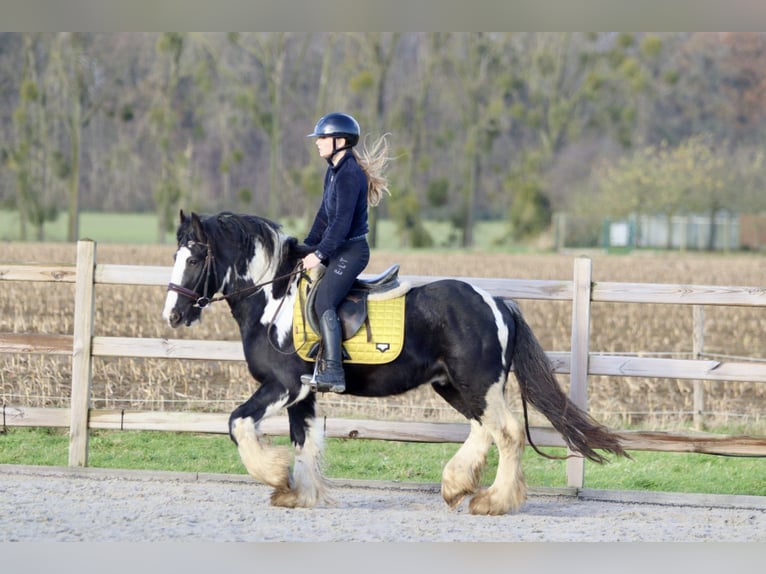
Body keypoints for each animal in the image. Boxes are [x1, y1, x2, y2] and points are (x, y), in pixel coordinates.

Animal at [162, 212, 632, 516]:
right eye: (176, 256)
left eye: (194, 258)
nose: (172, 315)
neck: (274, 300)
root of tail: (497, 302)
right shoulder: (305, 392)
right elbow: (306, 440)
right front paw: (300, 494)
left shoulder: (284, 385)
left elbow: (239, 422)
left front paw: (275, 475)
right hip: (455, 385)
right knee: (483, 429)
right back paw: (455, 485)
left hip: (477, 383)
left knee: (508, 433)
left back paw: (491, 501)